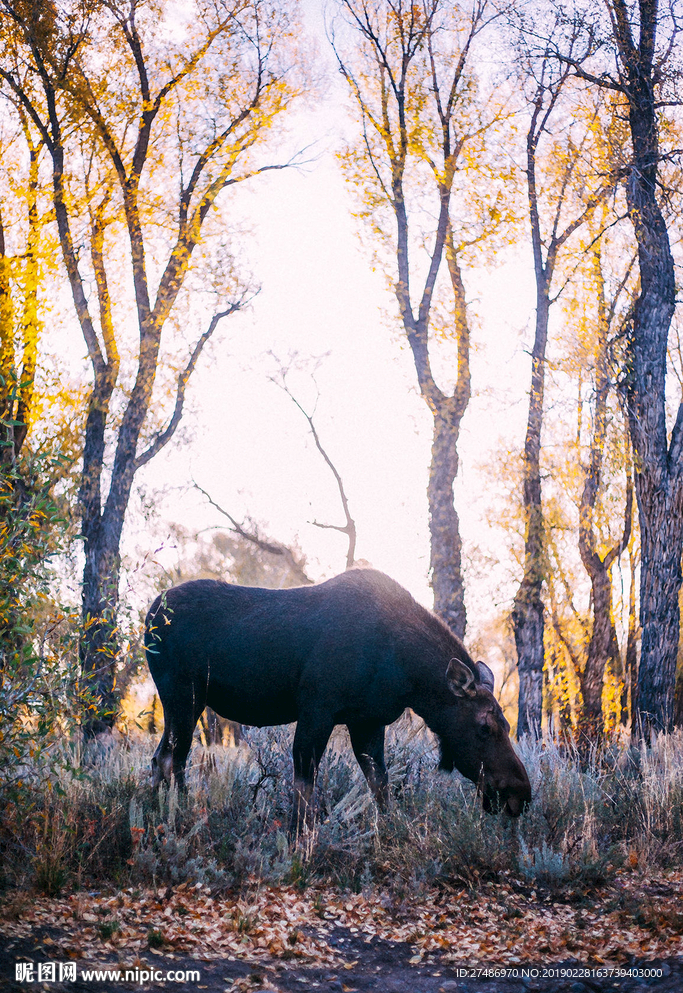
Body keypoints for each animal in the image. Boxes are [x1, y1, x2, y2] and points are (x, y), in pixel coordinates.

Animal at [147, 564, 532, 828]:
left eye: (507, 724)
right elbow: (306, 783)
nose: (521, 794)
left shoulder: (368, 721)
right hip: (183, 696)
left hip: (186, 702)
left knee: (162, 758)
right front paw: (300, 838)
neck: (406, 672)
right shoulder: (318, 708)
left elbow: (381, 786)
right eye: (484, 727)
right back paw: (176, 816)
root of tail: (150, 614)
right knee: (170, 758)